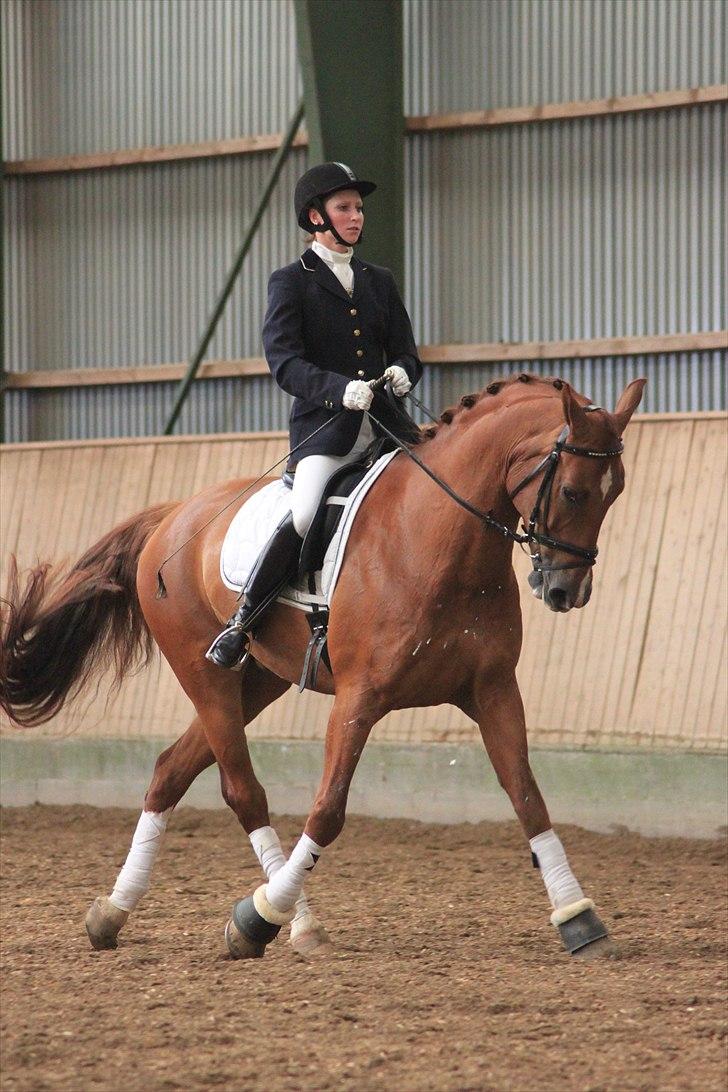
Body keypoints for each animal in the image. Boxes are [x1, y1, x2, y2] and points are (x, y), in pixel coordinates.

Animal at [1, 375, 650, 965]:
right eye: (572, 492)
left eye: (615, 492)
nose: (566, 591)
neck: (439, 538)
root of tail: (174, 515)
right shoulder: (359, 698)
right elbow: (328, 809)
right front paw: (256, 918)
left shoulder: (493, 690)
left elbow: (528, 797)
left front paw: (580, 918)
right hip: (205, 673)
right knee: (243, 792)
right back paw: (284, 921)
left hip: (260, 680)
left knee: (168, 772)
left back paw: (113, 912)